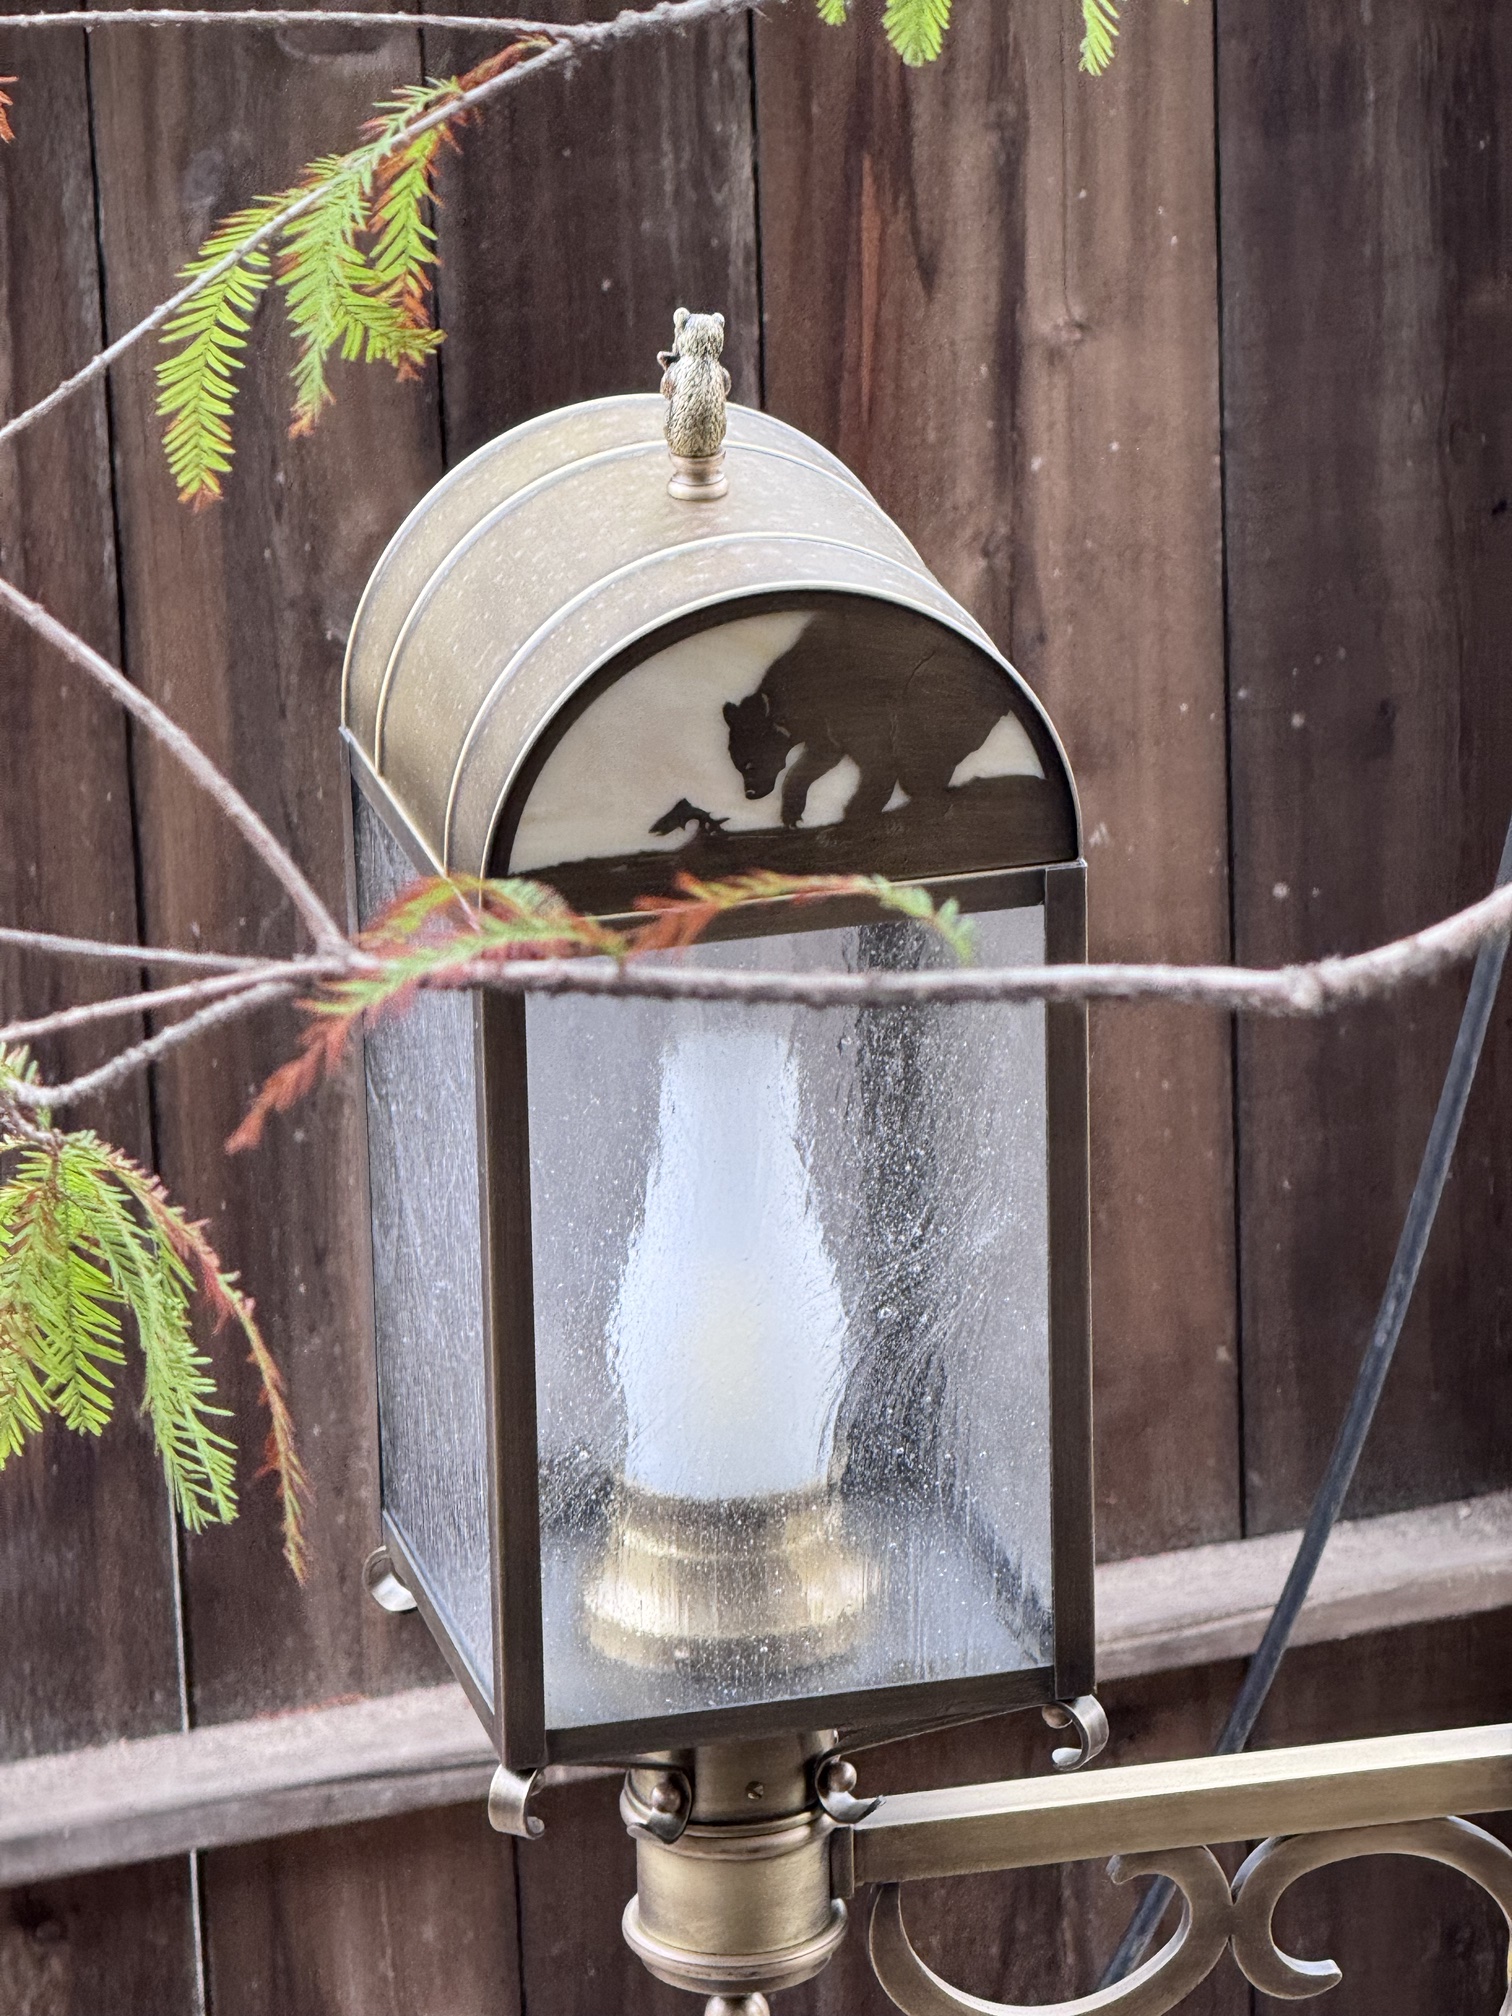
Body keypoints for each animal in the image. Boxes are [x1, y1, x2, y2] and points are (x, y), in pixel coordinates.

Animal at [722, 607, 1016, 829]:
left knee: (916, 750)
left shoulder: (854, 705)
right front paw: (792, 812)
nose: (750, 794)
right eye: (737, 763)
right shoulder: (823, 726)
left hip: (938, 684)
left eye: (748, 763)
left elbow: (878, 762)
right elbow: (817, 760)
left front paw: (856, 813)